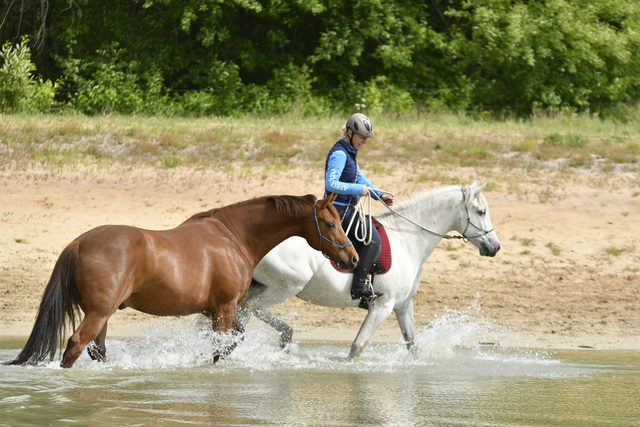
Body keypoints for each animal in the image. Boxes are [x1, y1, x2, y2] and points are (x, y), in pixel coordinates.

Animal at [10, 194, 358, 368]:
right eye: (330, 223)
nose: (352, 259)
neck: (234, 236)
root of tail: (79, 242)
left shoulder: (216, 310)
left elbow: (235, 340)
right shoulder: (225, 309)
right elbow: (220, 349)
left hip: (102, 315)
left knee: (97, 351)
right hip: (97, 313)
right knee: (74, 347)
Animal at [238, 179, 502, 360]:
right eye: (481, 212)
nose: (495, 246)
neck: (407, 240)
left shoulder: (403, 305)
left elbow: (412, 344)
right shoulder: (382, 307)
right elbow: (357, 347)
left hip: (260, 287)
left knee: (242, 315)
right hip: (287, 286)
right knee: (255, 308)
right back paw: (286, 337)